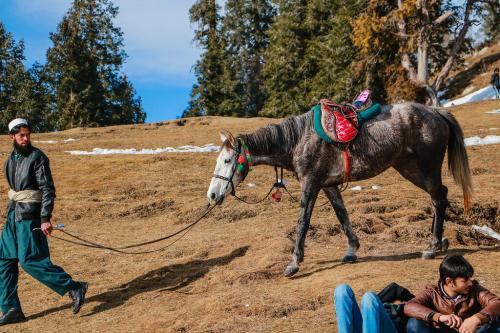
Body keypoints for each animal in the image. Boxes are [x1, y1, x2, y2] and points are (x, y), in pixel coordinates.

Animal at [207, 102, 472, 276]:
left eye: (227, 161)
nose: (212, 195)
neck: (297, 140)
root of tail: (436, 112)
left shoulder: (311, 184)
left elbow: (302, 223)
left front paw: (294, 263)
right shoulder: (329, 185)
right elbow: (342, 215)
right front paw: (352, 250)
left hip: (425, 168)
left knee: (438, 197)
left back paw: (433, 246)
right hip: (409, 167)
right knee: (440, 195)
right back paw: (439, 241)